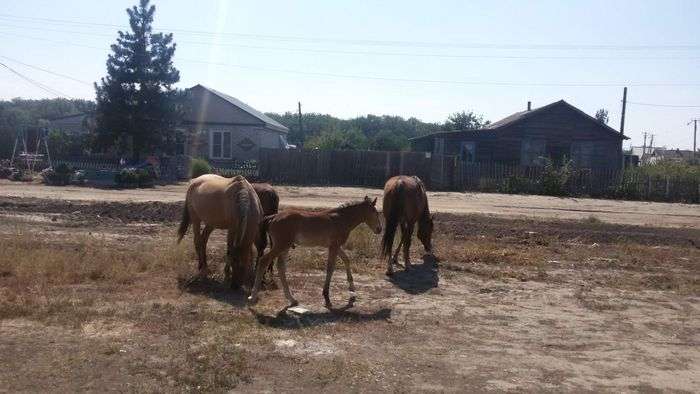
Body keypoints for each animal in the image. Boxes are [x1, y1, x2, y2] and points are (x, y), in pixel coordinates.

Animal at [247, 196, 380, 308]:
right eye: (375, 212)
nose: (379, 229)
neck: (341, 219)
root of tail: (273, 217)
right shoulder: (334, 246)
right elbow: (330, 268)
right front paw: (326, 297)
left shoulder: (335, 246)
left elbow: (346, 259)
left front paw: (352, 287)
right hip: (281, 245)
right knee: (264, 261)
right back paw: (252, 297)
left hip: (285, 247)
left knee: (280, 267)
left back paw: (292, 299)